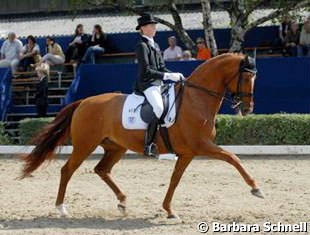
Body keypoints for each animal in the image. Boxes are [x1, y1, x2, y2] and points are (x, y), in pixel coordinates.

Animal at [20, 53, 262, 218]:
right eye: (246, 78)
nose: (248, 108)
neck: (196, 100)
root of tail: (83, 102)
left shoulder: (188, 153)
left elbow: (175, 179)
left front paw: (169, 210)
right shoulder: (201, 145)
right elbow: (233, 158)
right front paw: (256, 188)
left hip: (115, 147)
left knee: (102, 170)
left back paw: (122, 201)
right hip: (85, 145)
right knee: (67, 170)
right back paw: (61, 208)